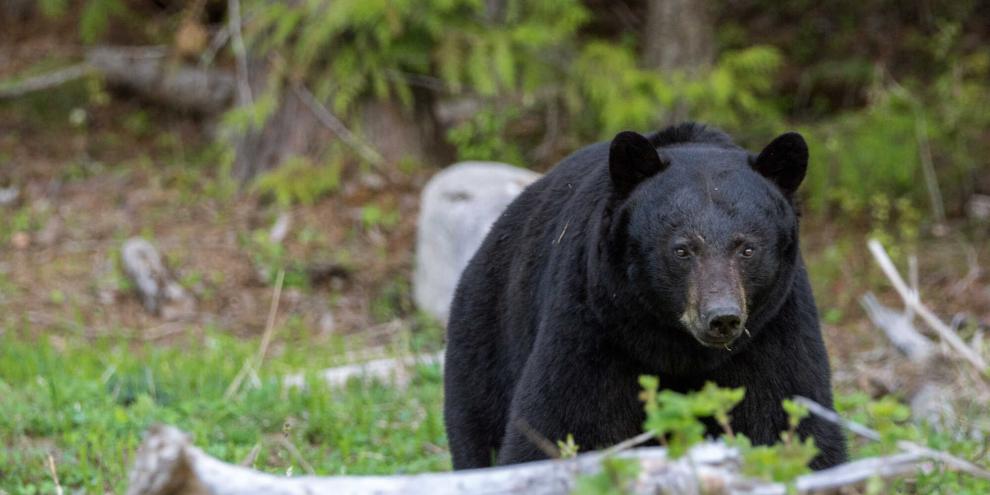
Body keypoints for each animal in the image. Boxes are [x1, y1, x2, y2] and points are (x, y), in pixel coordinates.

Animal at [443, 122, 847, 470]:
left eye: (747, 248)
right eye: (682, 249)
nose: (721, 317)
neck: (679, 349)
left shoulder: (773, 330)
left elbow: (790, 419)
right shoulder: (594, 322)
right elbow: (559, 422)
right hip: (487, 339)